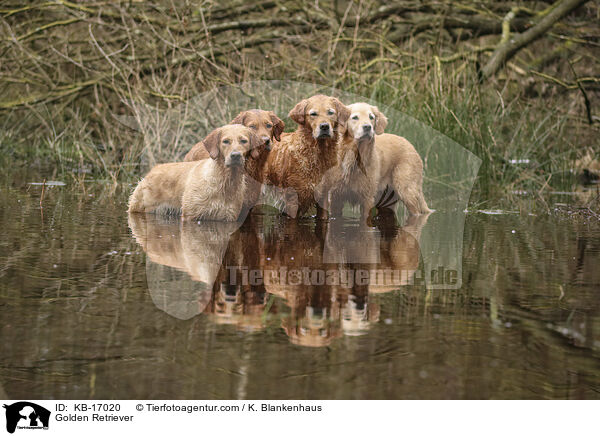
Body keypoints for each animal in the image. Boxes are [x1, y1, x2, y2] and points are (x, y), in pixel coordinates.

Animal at [129, 125, 260, 221]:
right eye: (226, 141)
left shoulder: (229, 218)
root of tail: (152, 170)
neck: (225, 182)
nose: (235, 155)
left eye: (244, 141)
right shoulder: (190, 215)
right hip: (138, 207)